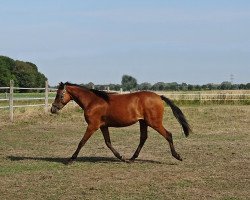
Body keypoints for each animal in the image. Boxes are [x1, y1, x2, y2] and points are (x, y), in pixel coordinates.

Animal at [51, 81, 191, 164]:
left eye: (59, 94)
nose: (53, 109)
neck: (92, 101)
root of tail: (159, 97)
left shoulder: (92, 126)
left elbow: (82, 142)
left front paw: (70, 159)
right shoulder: (103, 126)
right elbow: (108, 143)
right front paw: (121, 157)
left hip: (154, 122)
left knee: (168, 134)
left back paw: (177, 156)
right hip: (143, 122)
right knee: (143, 138)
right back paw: (131, 158)